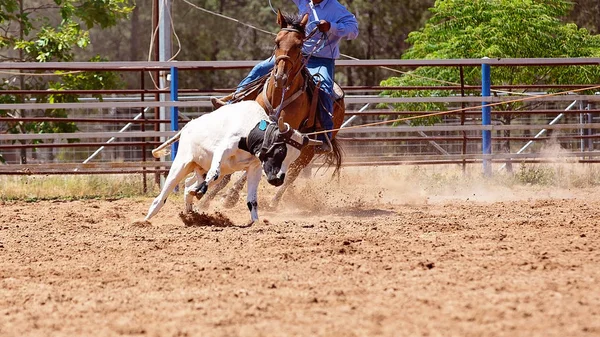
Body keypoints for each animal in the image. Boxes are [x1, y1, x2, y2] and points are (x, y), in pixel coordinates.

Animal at [144, 101, 322, 224]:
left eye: (293, 158)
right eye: (280, 151)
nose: (278, 179)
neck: (249, 131)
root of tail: (188, 126)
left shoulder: (255, 168)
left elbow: (252, 200)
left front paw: (256, 222)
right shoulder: (222, 151)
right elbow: (214, 174)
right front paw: (201, 191)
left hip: (202, 168)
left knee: (188, 185)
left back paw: (190, 213)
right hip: (182, 163)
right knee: (163, 195)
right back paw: (146, 219)